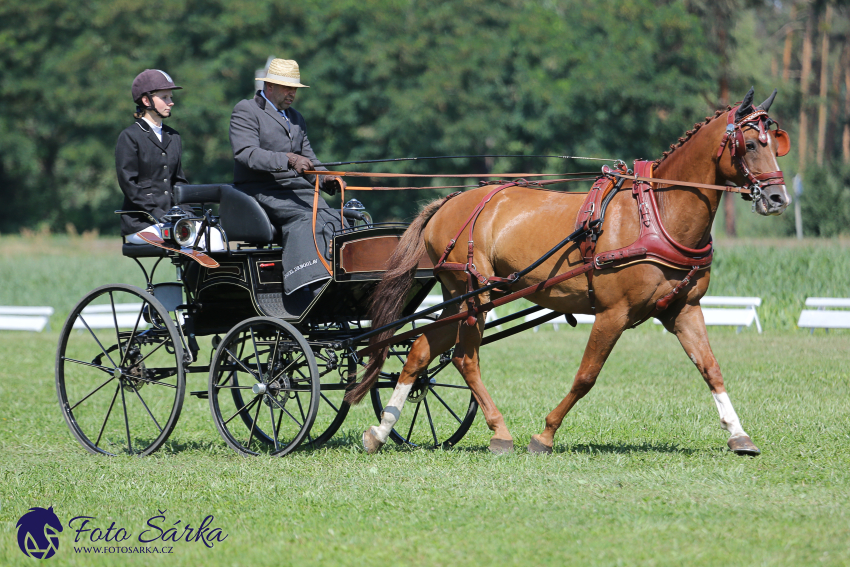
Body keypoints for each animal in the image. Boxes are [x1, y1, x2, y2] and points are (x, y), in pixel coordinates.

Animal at [344, 91, 788, 460]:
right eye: (750, 144)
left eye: (775, 144)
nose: (778, 198)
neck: (657, 214)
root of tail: (449, 201)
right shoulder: (613, 313)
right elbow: (586, 377)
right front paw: (544, 435)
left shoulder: (684, 309)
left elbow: (711, 368)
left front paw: (739, 434)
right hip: (473, 295)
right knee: (465, 357)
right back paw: (499, 432)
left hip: (464, 299)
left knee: (421, 349)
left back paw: (379, 432)